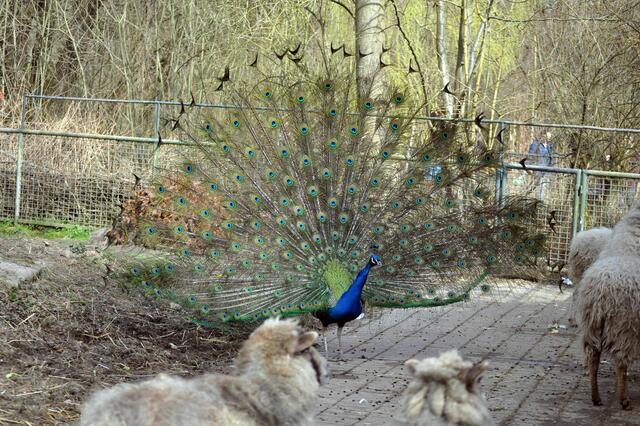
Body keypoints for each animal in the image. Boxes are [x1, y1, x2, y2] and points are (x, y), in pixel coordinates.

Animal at [580, 204, 640, 410]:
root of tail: (601, 292)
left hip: (591, 326)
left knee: (593, 359)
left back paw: (595, 397)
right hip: (625, 328)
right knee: (620, 362)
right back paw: (624, 400)